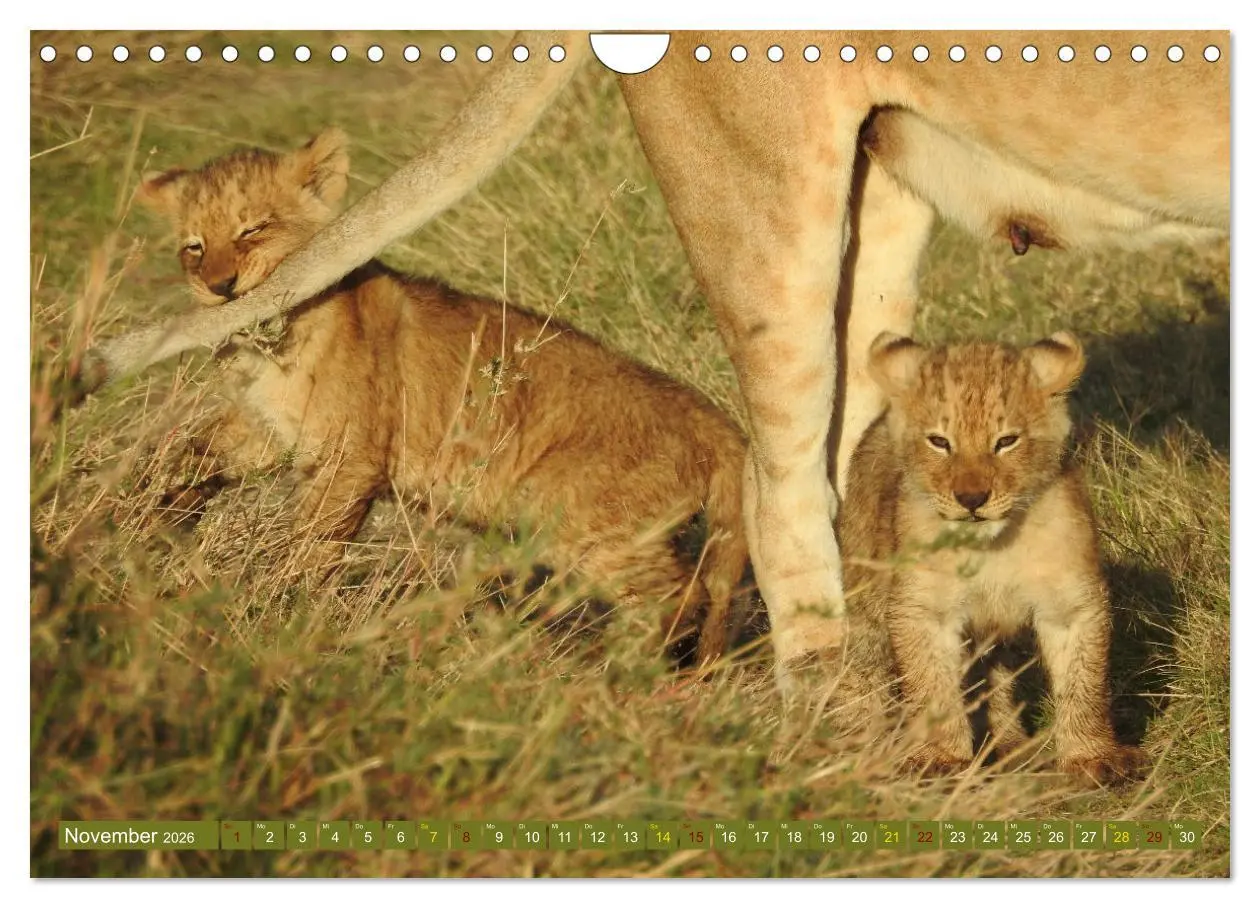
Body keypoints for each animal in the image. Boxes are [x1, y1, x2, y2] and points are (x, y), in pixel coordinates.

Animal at [137, 128, 751, 665]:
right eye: (194, 246)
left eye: (253, 229)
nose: (220, 287)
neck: (277, 343)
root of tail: (714, 421)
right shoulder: (268, 432)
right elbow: (195, 450)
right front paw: (160, 505)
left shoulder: (352, 459)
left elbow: (313, 543)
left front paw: (280, 605)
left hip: (586, 519)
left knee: (679, 600)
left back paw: (613, 673)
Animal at [841, 331, 1144, 783]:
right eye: (939, 442)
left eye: (1006, 442)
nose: (971, 499)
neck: (990, 548)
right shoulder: (923, 610)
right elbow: (931, 686)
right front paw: (939, 758)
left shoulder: (1071, 605)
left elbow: (1084, 683)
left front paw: (1093, 757)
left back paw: (1010, 745)